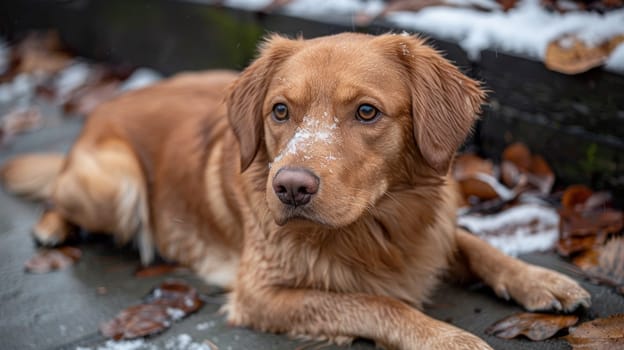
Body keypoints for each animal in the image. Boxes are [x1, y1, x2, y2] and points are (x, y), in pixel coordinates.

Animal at [2, 32, 592, 348]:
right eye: (281, 111)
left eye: (367, 111)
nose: (290, 187)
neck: (377, 228)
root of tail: (104, 106)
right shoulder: (260, 293)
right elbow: (376, 302)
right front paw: (444, 335)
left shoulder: (436, 229)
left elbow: (478, 245)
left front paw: (542, 279)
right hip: (116, 184)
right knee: (58, 192)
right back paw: (51, 226)